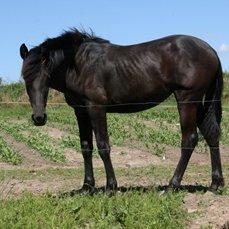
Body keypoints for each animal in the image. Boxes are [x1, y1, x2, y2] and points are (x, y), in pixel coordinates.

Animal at [19, 29, 224, 192]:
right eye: (25, 77)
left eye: (46, 76)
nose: (39, 117)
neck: (78, 65)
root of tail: (211, 50)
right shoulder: (81, 112)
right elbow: (86, 148)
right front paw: (87, 186)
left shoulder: (96, 108)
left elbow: (103, 147)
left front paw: (111, 186)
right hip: (199, 103)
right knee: (211, 134)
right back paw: (215, 184)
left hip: (187, 100)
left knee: (189, 140)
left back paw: (172, 185)